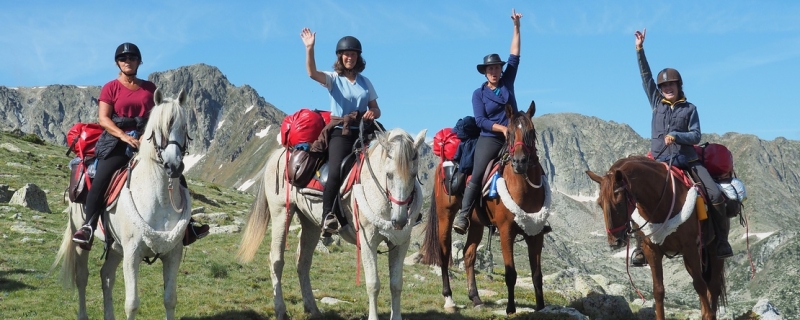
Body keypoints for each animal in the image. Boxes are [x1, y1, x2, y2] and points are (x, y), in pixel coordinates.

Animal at [53, 89, 194, 318]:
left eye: (184, 127)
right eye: (157, 129)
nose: (173, 166)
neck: (160, 198)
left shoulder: (173, 253)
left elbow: (170, 299)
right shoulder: (132, 252)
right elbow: (132, 303)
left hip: (116, 246)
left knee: (106, 276)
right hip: (84, 240)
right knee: (82, 276)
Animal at [236, 126, 428, 318]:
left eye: (413, 175)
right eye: (389, 175)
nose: (400, 220)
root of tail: (277, 154)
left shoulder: (400, 243)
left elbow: (396, 284)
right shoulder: (368, 241)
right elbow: (373, 284)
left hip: (310, 224)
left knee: (303, 263)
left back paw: (313, 309)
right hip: (281, 213)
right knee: (276, 260)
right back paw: (280, 310)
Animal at [418, 102, 552, 316]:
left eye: (531, 131)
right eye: (509, 133)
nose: (519, 162)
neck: (523, 187)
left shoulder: (536, 232)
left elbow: (537, 274)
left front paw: (541, 308)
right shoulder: (506, 231)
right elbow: (510, 273)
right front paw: (510, 309)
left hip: (476, 224)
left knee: (468, 255)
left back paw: (476, 298)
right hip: (445, 215)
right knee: (445, 253)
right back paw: (449, 298)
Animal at [584, 157, 728, 320]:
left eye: (619, 203)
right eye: (599, 204)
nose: (615, 242)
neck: (662, 201)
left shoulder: (689, 248)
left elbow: (699, 284)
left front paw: (709, 315)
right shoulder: (652, 249)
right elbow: (658, 290)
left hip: (712, 250)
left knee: (713, 286)